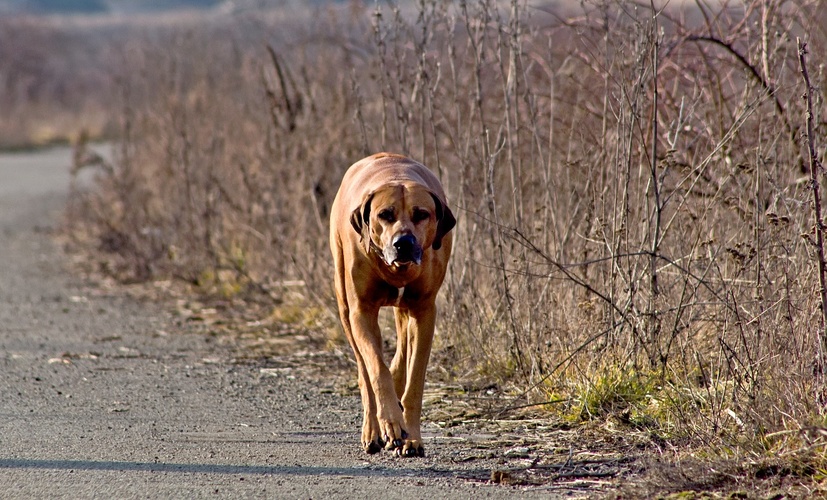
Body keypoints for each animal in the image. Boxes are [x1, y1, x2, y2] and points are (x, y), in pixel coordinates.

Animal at [332, 152, 460, 458]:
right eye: (385, 215)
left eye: (422, 214)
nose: (403, 243)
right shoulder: (361, 312)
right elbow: (377, 371)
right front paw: (390, 422)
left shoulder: (425, 311)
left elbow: (414, 382)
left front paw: (412, 437)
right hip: (344, 306)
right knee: (365, 371)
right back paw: (373, 431)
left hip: (406, 310)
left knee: (401, 351)